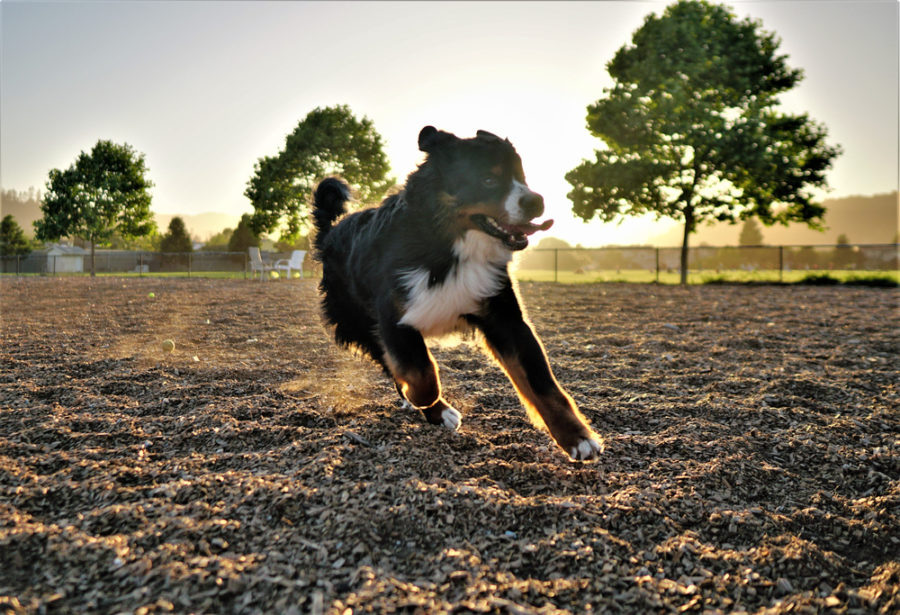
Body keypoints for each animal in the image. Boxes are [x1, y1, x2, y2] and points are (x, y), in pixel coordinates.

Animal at [312, 126, 600, 462]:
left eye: (522, 177)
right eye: (488, 180)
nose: (536, 201)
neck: (449, 248)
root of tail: (331, 231)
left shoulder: (506, 320)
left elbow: (543, 384)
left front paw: (577, 437)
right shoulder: (394, 320)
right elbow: (422, 374)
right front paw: (427, 403)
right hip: (360, 323)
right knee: (392, 364)